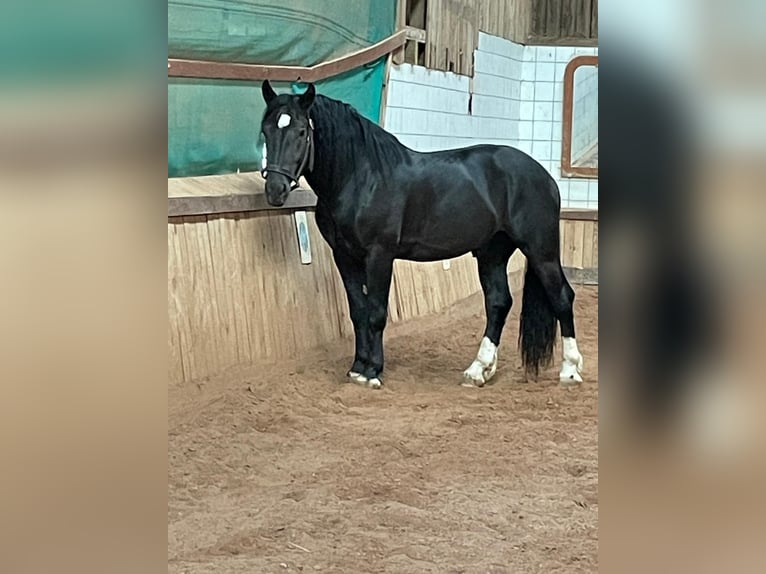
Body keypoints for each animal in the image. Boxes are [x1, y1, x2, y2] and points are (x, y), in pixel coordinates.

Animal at [260, 81, 584, 390]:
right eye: (266, 130)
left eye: (302, 131)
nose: (276, 189)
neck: (361, 177)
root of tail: (544, 176)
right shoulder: (344, 255)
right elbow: (358, 312)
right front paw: (357, 368)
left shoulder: (379, 255)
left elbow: (376, 313)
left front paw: (372, 372)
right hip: (492, 253)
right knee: (498, 303)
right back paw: (478, 370)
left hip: (541, 250)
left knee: (561, 297)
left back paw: (569, 370)